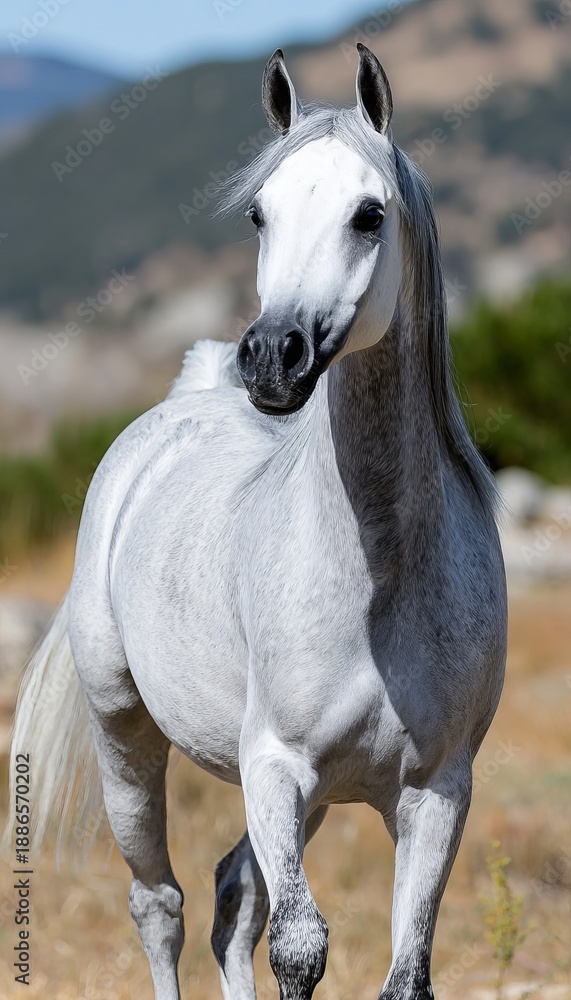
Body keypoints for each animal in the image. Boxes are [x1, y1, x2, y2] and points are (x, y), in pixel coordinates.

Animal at [7, 45, 507, 1000]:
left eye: (368, 214)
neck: (378, 577)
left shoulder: (439, 792)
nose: (271, 357)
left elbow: (400, 970)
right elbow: (299, 947)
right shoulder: (276, 766)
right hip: (126, 734)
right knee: (159, 904)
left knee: (233, 895)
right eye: (258, 213)